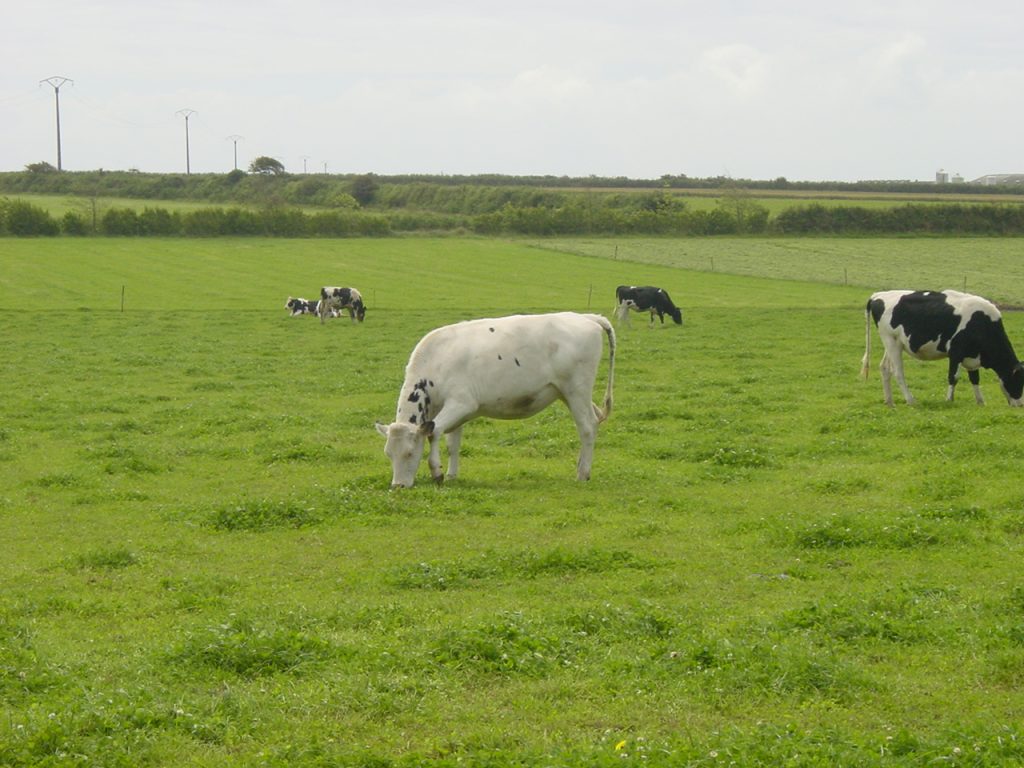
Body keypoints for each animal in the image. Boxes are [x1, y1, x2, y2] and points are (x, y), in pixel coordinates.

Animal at [376, 311, 614, 487]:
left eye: (409, 453)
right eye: (388, 454)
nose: (397, 486)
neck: (436, 363)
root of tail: (586, 317)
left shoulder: (461, 404)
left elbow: (434, 433)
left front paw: (437, 472)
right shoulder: (453, 412)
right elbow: (452, 444)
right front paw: (452, 475)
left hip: (577, 390)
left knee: (587, 427)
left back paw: (583, 473)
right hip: (567, 393)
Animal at [864, 290, 1024, 409]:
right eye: (1019, 381)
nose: (1020, 405)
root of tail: (877, 295)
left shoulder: (972, 356)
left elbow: (974, 378)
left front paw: (980, 401)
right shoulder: (955, 352)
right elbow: (953, 377)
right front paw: (949, 400)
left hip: (894, 343)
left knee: (885, 368)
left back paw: (889, 401)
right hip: (891, 341)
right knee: (898, 372)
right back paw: (910, 400)